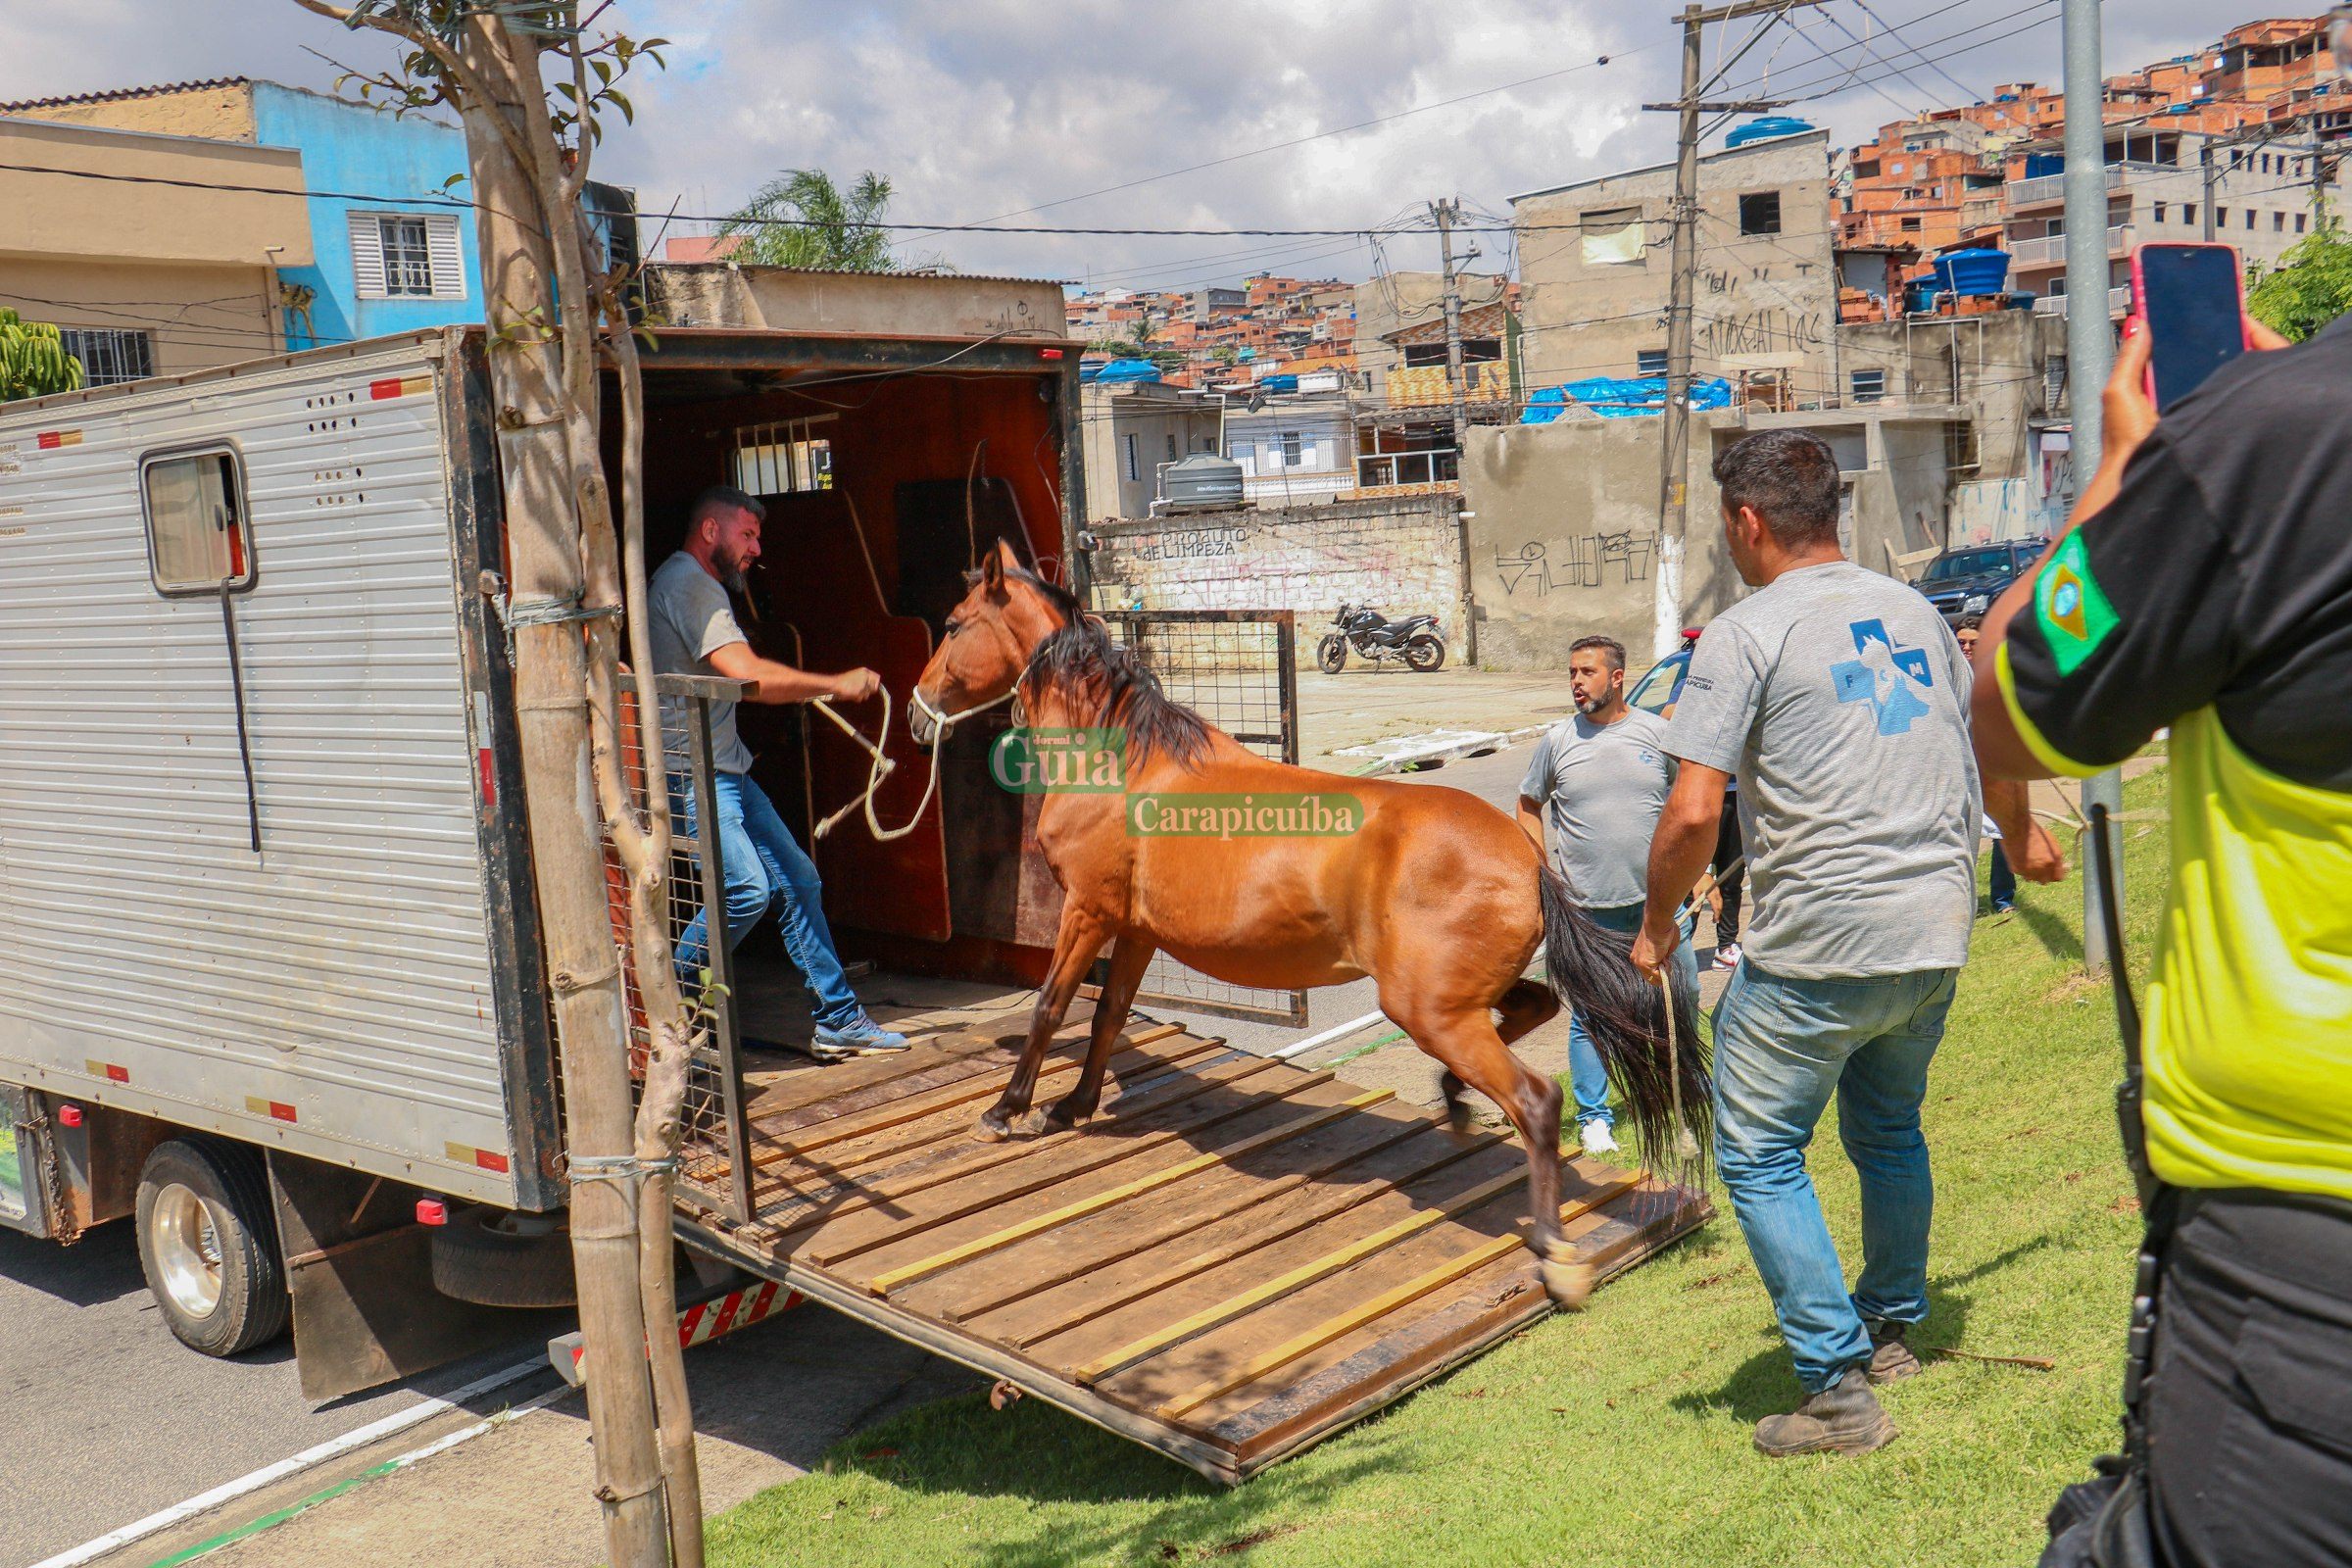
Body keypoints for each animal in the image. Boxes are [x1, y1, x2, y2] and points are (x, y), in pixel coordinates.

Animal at [907, 545, 1702, 1306]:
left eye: (951, 625)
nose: (915, 717)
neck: (1122, 764)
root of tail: (1525, 856)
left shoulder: (1087, 912)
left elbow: (1049, 1008)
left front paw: (1008, 1110)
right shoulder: (1135, 931)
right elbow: (1107, 1016)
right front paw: (1073, 1105)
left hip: (1425, 1008)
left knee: (1538, 1103)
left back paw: (1554, 1251)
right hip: (1459, 1000)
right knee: (1536, 1008)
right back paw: (1452, 1099)